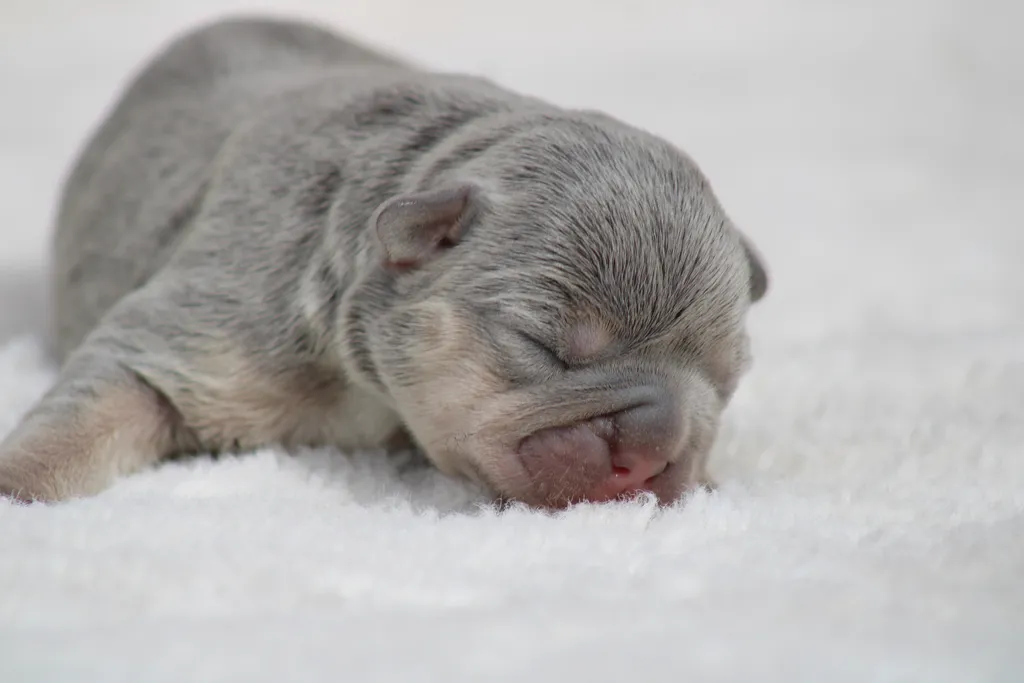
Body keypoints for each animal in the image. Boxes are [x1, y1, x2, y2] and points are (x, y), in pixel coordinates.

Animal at [0, 14, 770, 507]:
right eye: (544, 347)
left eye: (725, 380)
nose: (651, 456)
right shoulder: (197, 326)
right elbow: (87, 413)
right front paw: (19, 486)